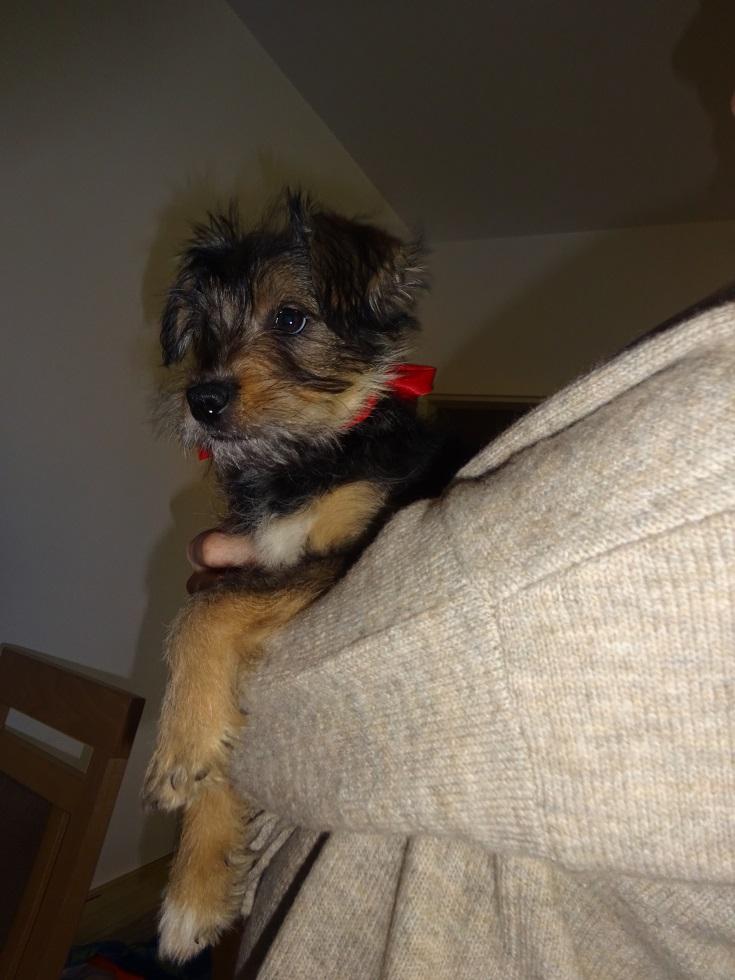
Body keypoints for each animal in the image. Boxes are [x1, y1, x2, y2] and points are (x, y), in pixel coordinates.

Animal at [143, 192, 450, 962]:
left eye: (289, 317)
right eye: (202, 333)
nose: (202, 400)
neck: (304, 458)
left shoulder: (347, 556)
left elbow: (203, 614)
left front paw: (178, 744)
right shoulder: (257, 560)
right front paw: (196, 889)